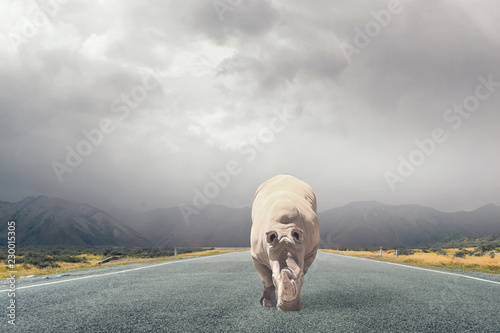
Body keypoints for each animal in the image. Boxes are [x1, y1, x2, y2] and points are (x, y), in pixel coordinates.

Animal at [250, 174, 320, 312]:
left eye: (302, 278)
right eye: (274, 278)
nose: (290, 308)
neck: (284, 230)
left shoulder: (311, 250)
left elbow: (303, 268)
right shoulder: (257, 256)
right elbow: (266, 280)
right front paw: (267, 304)